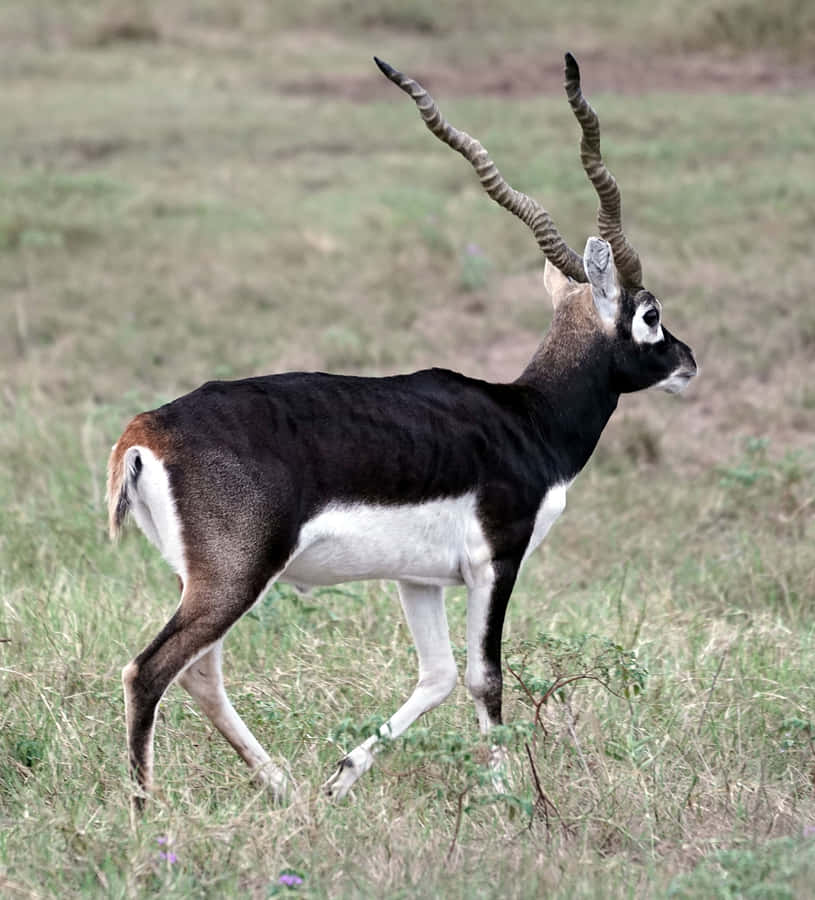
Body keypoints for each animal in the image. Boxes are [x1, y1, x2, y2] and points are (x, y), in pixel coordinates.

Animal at [107, 53, 697, 805]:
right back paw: (145, 811)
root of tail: (146, 432)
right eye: (650, 314)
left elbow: (437, 675)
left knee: (200, 673)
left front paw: (340, 777)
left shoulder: (419, 580)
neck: (527, 419)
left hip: (206, 582)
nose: (687, 362)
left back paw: (284, 788)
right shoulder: (495, 562)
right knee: (150, 670)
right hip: (235, 579)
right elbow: (483, 677)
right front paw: (506, 797)